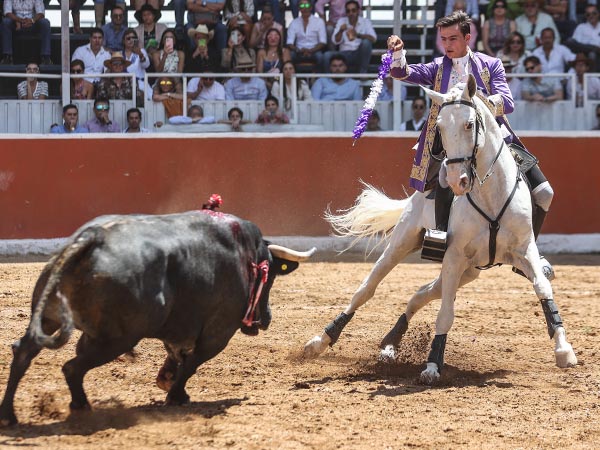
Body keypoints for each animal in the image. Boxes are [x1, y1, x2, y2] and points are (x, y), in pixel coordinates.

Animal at [0, 211, 316, 426]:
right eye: (270, 276)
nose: (265, 319)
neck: (245, 256)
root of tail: (93, 238)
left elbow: (177, 356)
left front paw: (168, 382)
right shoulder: (218, 333)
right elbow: (191, 363)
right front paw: (176, 395)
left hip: (49, 317)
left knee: (24, 352)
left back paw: (9, 415)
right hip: (117, 339)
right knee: (72, 367)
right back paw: (80, 407)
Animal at [304, 74, 576, 384]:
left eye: (469, 124)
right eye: (440, 127)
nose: (458, 180)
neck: (490, 195)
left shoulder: (524, 250)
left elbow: (543, 288)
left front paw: (564, 349)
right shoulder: (454, 255)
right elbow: (446, 313)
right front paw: (433, 365)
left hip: (469, 271)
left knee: (420, 294)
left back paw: (389, 344)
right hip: (404, 243)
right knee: (367, 289)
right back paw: (320, 341)